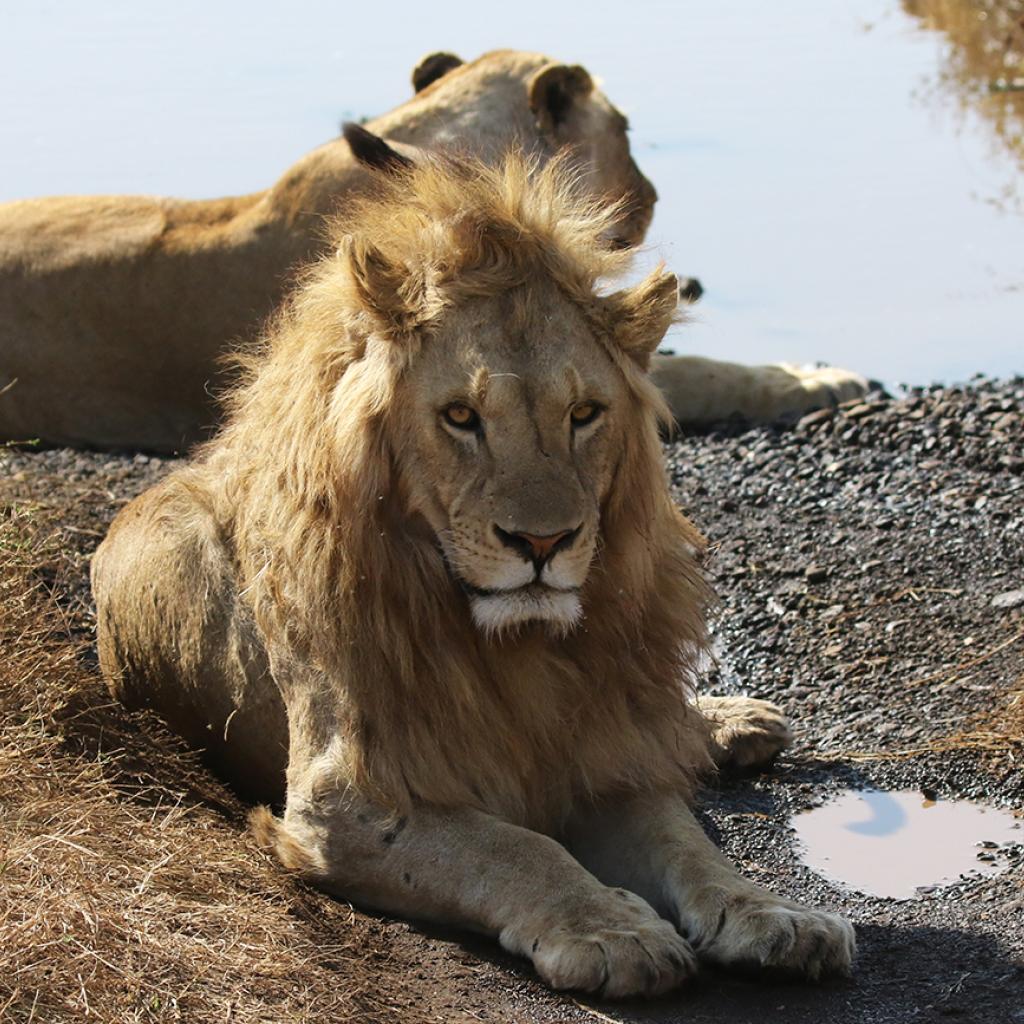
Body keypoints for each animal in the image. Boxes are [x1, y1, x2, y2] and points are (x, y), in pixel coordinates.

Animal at [90, 140, 856, 995]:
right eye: (461, 416)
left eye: (584, 414)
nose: (543, 543)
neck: (514, 648)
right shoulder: (344, 804)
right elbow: (519, 848)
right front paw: (612, 930)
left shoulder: (598, 761)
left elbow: (688, 846)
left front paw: (776, 916)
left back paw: (733, 722)